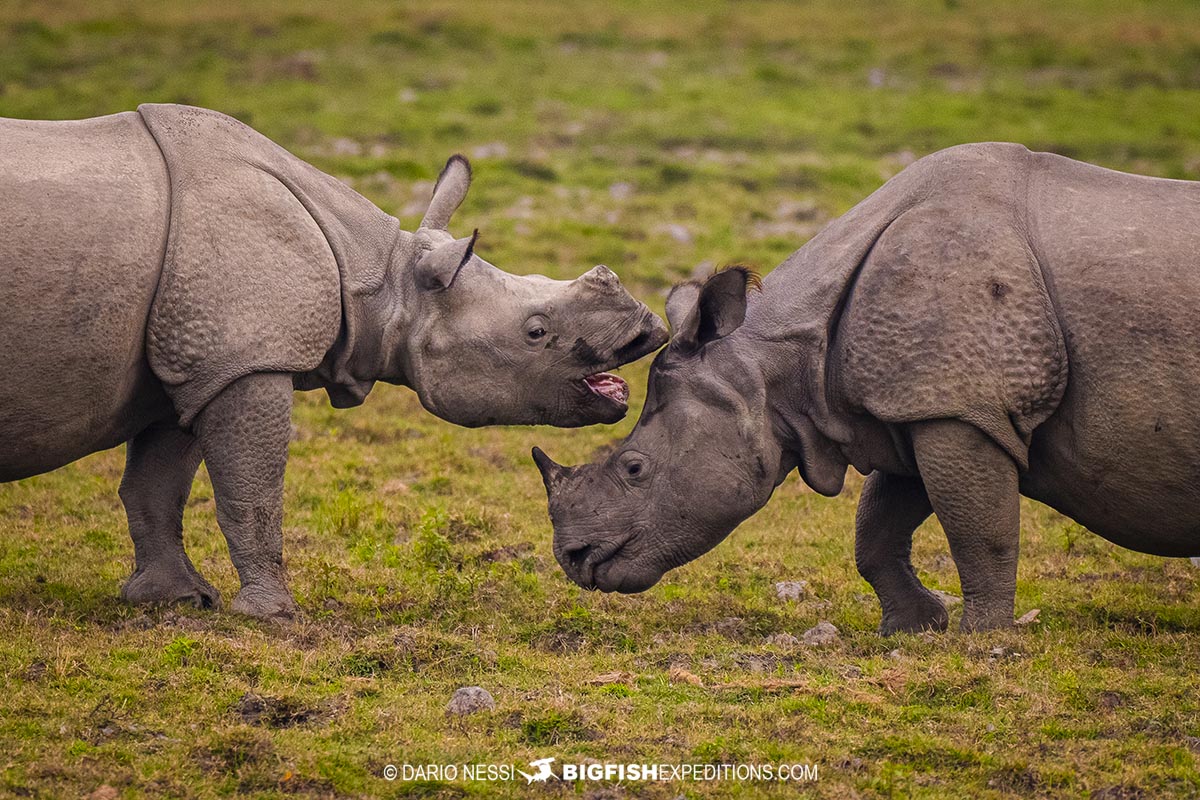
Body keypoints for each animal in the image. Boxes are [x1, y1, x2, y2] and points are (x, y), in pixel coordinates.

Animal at [0, 103, 667, 618]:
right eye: (535, 331)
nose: (648, 328)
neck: (380, 274)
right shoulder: (249, 358)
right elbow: (251, 492)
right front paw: (270, 614)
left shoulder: (207, 359)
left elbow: (156, 487)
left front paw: (174, 601)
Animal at [535, 142, 1200, 633]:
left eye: (635, 469)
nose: (573, 559)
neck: (779, 363)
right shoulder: (921, 406)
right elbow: (877, 528)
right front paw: (915, 628)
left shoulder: (960, 405)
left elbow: (978, 531)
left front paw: (983, 641)